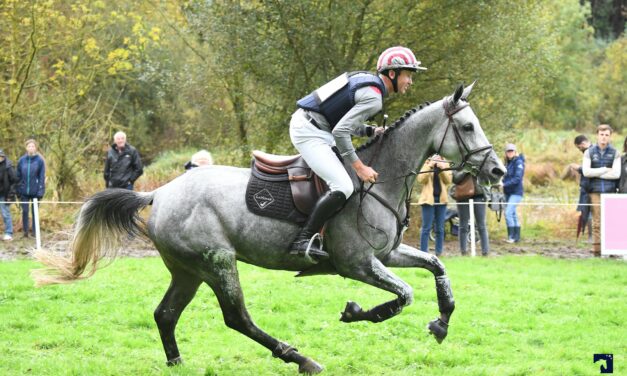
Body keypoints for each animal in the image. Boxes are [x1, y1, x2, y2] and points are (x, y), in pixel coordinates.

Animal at [33, 83, 506, 374]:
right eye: (467, 126)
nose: (498, 170)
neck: (381, 177)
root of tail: (160, 193)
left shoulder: (387, 255)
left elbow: (437, 266)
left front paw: (441, 323)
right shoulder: (357, 263)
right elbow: (403, 296)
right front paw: (356, 312)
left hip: (188, 269)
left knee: (165, 314)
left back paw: (176, 362)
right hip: (218, 263)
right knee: (237, 318)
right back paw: (299, 358)